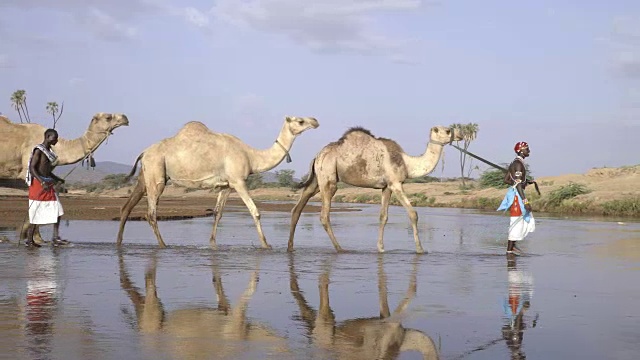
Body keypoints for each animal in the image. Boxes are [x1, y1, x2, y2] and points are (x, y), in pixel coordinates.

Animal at [116, 116, 318, 249]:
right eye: (300, 121)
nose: (315, 121)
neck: (251, 156)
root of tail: (143, 152)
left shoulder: (227, 185)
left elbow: (217, 213)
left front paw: (213, 243)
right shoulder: (238, 181)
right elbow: (255, 211)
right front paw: (266, 245)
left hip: (146, 175)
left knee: (127, 207)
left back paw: (118, 242)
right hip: (156, 173)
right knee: (151, 213)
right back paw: (163, 245)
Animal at [288, 125, 462, 255]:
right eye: (447, 130)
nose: (460, 134)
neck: (407, 163)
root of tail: (317, 156)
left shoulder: (386, 187)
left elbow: (383, 217)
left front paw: (381, 248)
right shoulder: (395, 183)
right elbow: (413, 214)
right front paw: (420, 249)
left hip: (317, 180)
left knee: (297, 208)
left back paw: (290, 246)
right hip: (328, 178)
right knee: (324, 215)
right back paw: (340, 248)